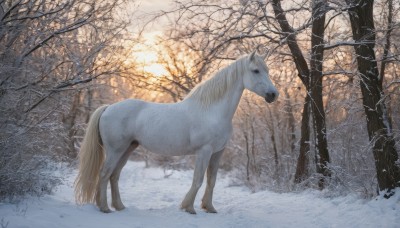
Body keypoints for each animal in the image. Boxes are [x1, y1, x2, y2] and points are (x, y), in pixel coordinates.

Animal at [75, 51, 280, 214]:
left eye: (268, 70)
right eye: (255, 71)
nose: (273, 95)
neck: (212, 111)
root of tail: (108, 108)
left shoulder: (217, 152)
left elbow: (211, 180)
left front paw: (209, 208)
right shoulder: (204, 151)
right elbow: (198, 179)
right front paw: (188, 208)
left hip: (128, 148)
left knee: (114, 175)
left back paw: (119, 206)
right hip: (115, 150)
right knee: (104, 173)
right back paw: (104, 208)